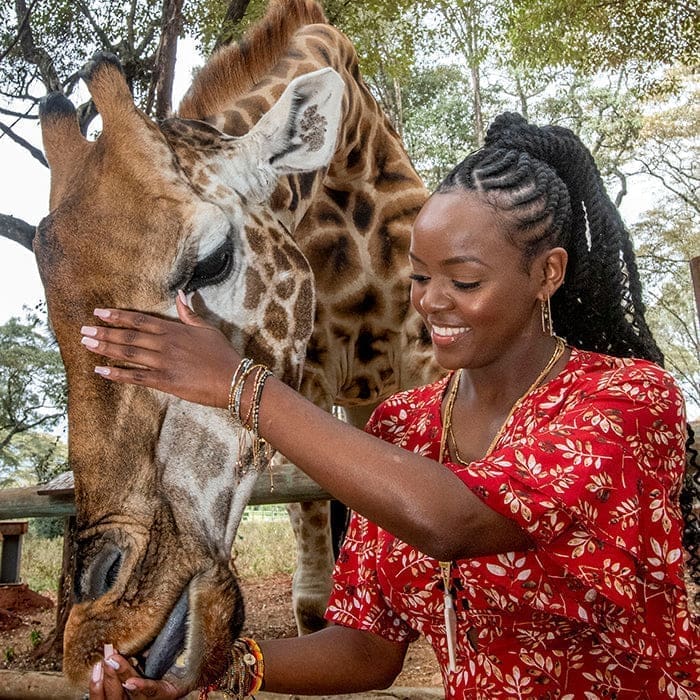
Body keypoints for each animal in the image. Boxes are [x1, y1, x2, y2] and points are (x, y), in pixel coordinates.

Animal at [34, 0, 438, 688]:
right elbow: (314, 603)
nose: (99, 630)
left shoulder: (432, 360)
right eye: (57, 330)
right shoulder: (308, 380)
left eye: (212, 260)